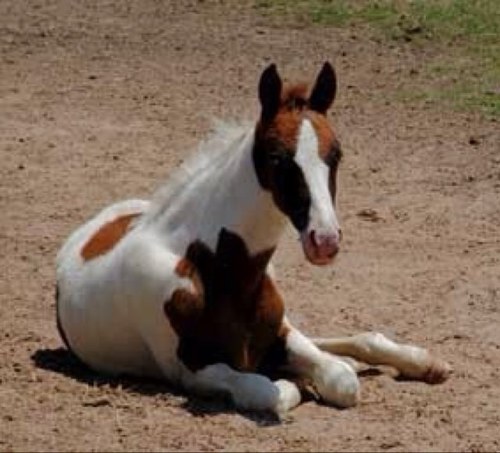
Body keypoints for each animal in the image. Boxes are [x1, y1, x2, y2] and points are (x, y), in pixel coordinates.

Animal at [54, 61, 450, 414]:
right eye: (276, 157)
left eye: (336, 154)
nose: (324, 241)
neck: (220, 269)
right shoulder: (192, 369)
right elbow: (268, 389)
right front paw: (297, 383)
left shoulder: (281, 334)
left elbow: (341, 380)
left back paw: (426, 363)